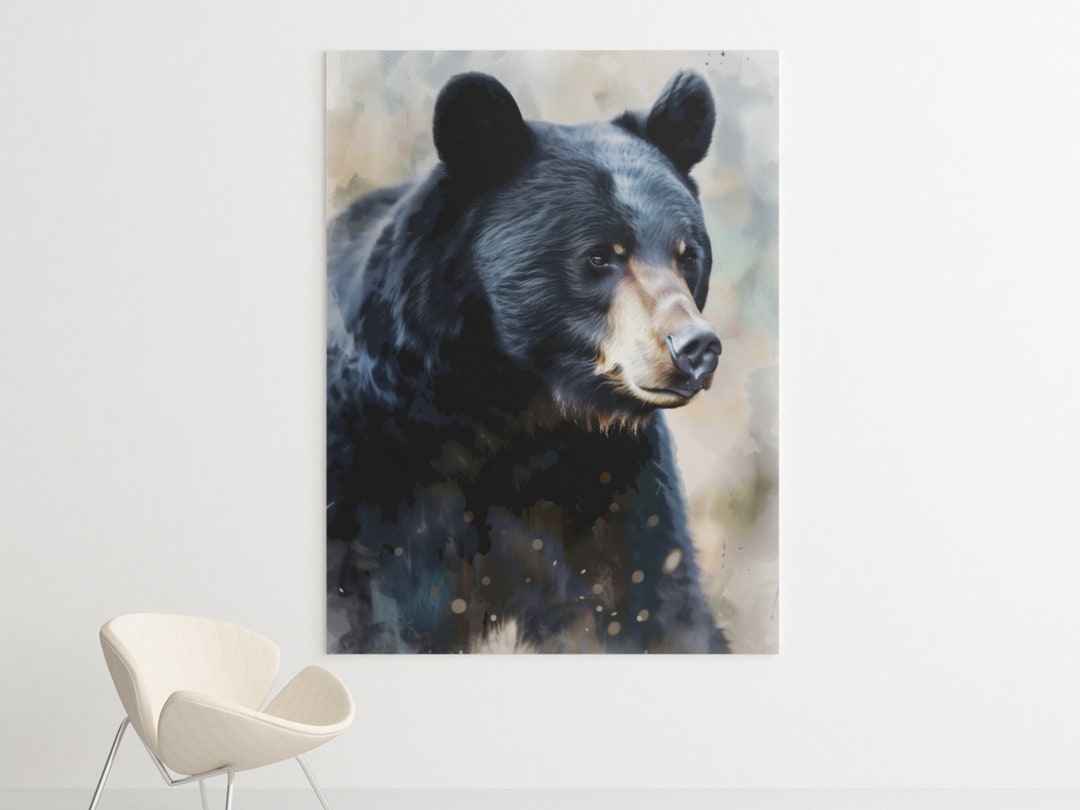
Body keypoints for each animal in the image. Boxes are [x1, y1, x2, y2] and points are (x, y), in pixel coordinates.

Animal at [327, 70, 728, 653]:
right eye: (600, 256)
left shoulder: (613, 478)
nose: (696, 346)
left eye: (687, 255)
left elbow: (650, 601)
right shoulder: (373, 476)